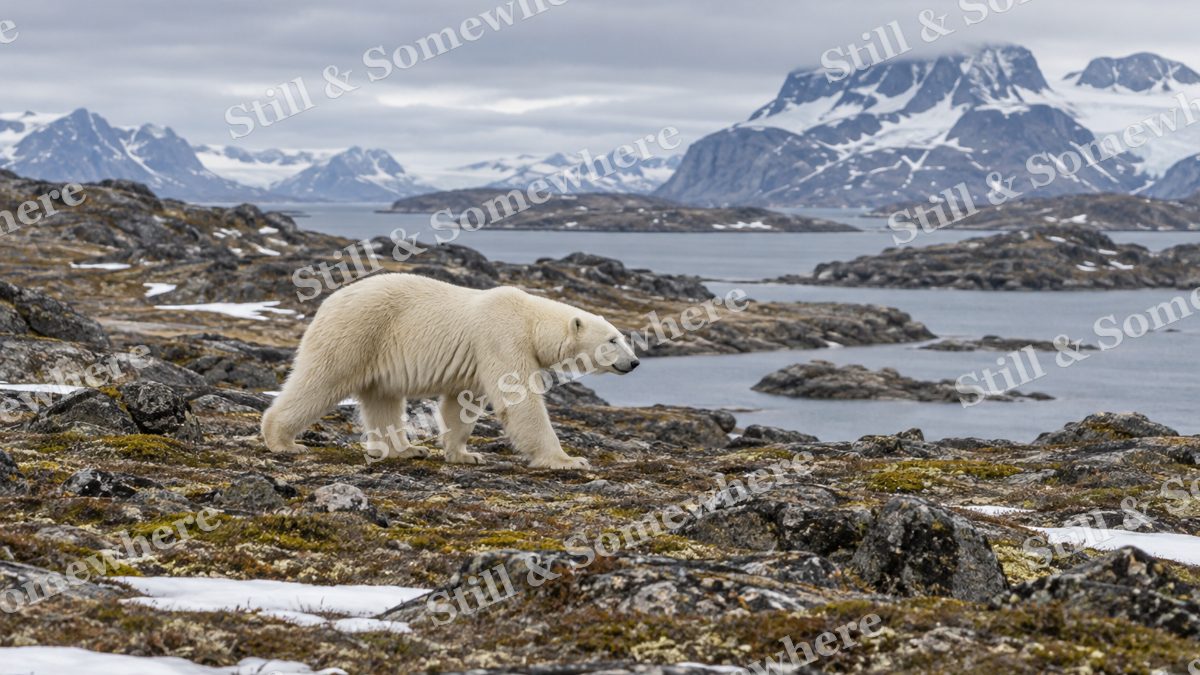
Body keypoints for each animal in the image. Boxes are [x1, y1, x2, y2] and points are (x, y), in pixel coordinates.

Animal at [261, 273, 639, 470]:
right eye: (613, 339)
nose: (635, 363)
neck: (531, 320)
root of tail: (327, 303)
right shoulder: (502, 338)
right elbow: (519, 400)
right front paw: (568, 460)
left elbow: (461, 404)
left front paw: (465, 454)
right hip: (356, 333)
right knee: (321, 380)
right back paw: (283, 441)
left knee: (383, 399)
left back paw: (405, 450)